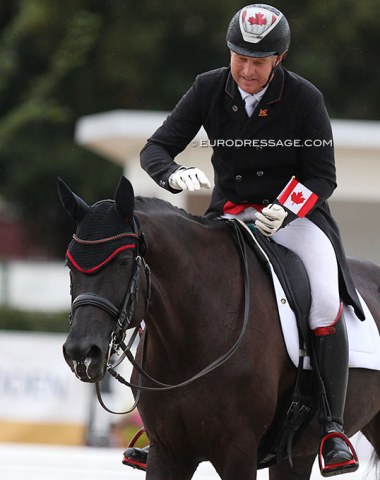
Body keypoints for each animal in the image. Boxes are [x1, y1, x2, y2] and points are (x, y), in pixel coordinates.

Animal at [58, 177, 380, 480]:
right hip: (298, 453)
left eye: (124, 262)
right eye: (69, 264)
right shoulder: (168, 452)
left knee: (325, 324)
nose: (81, 352)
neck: (190, 343)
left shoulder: (238, 451)